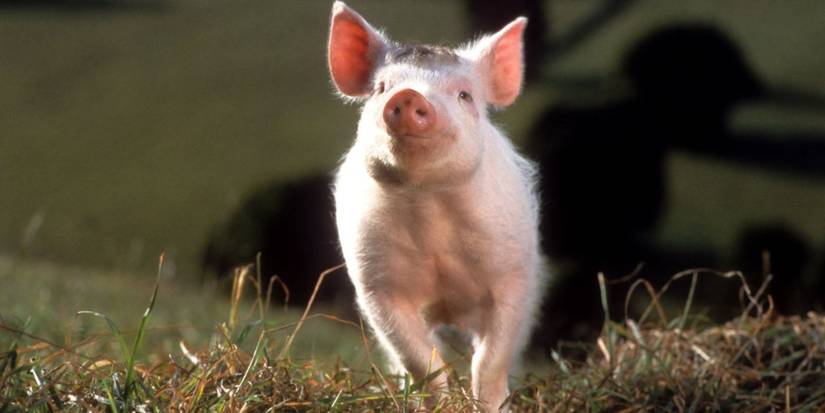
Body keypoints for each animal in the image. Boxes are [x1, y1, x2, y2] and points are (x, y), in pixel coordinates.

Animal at [327, 2, 546, 411]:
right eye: (382, 88)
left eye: (464, 95)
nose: (409, 96)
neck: (429, 203)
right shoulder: (377, 285)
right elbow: (421, 360)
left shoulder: (513, 276)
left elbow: (490, 361)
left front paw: (489, 404)